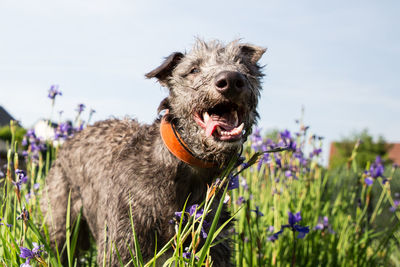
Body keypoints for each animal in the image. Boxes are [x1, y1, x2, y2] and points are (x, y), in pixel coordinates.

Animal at [41, 38, 266, 266]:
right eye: (193, 69)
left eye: (243, 64)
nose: (231, 80)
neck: (184, 167)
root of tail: (70, 139)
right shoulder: (122, 246)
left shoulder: (214, 245)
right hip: (60, 223)